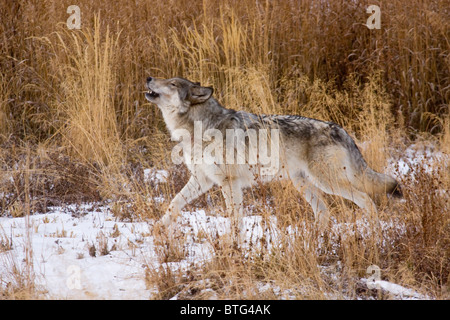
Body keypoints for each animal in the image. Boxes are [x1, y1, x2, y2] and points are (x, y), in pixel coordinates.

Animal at [145, 75, 400, 235]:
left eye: (173, 83)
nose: (148, 78)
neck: (200, 127)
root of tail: (340, 129)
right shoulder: (202, 179)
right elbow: (174, 203)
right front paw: (158, 229)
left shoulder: (229, 183)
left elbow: (235, 220)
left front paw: (233, 247)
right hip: (304, 184)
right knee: (325, 212)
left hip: (328, 182)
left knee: (366, 200)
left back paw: (374, 235)